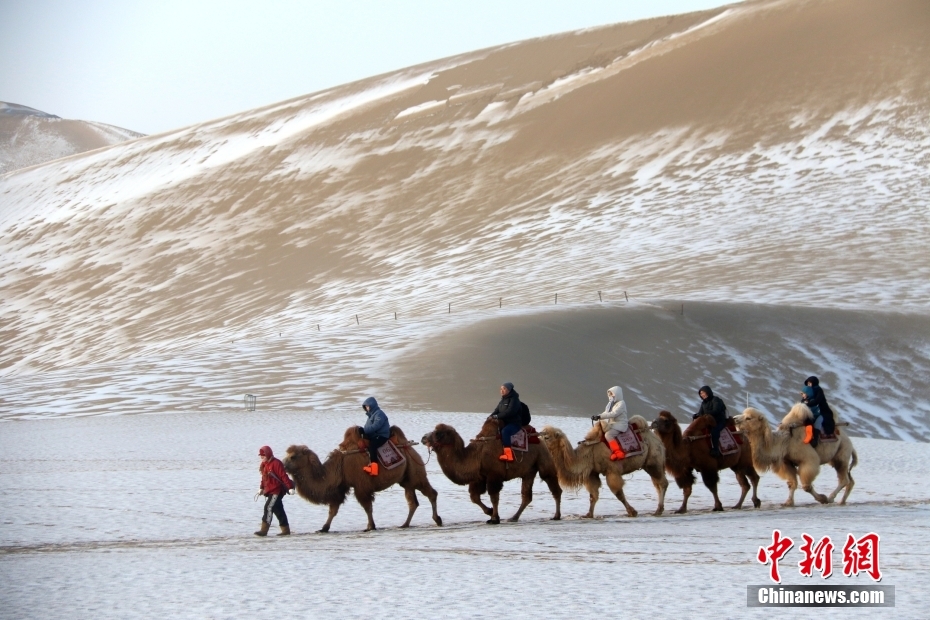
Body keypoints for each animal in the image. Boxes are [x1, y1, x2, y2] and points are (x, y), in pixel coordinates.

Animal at [280, 426, 440, 532]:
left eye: (293, 456)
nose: (282, 465)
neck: (340, 466)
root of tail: (410, 446)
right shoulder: (341, 488)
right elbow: (333, 510)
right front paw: (323, 528)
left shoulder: (361, 486)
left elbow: (367, 507)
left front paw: (370, 527)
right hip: (406, 479)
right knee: (412, 502)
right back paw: (404, 524)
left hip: (415, 471)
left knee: (430, 493)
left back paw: (437, 520)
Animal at [418, 416, 560, 524]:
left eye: (438, 433)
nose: (423, 438)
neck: (476, 455)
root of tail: (542, 440)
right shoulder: (479, 477)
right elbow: (474, 497)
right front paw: (490, 512)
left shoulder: (494, 475)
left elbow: (493, 496)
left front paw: (494, 518)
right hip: (528, 471)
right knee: (526, 496)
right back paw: (514, 517)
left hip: (544, 460)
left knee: (553, 486)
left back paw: (556, 516)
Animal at [536, 416, 668, 520]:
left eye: (547, 437)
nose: (538, 442)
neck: (588, 454)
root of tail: (656, 438)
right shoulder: (592, 473)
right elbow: (593, 495)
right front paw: (588, 514)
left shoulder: (612, 471)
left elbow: (618, 493)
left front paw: (632, 512)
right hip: (649, 464)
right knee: (658, 483)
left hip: (654, 461)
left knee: (662, 483)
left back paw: (658, 510)